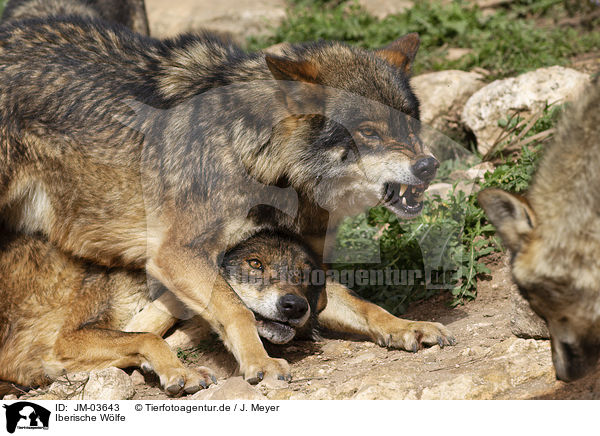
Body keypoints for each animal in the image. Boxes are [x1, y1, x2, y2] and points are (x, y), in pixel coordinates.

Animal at [0, 228, 324, 396]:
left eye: (303, 273)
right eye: (255, 263)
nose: (296, 306)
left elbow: (151, 330)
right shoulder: (64, 342)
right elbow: (147, 337)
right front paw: (180, 372)